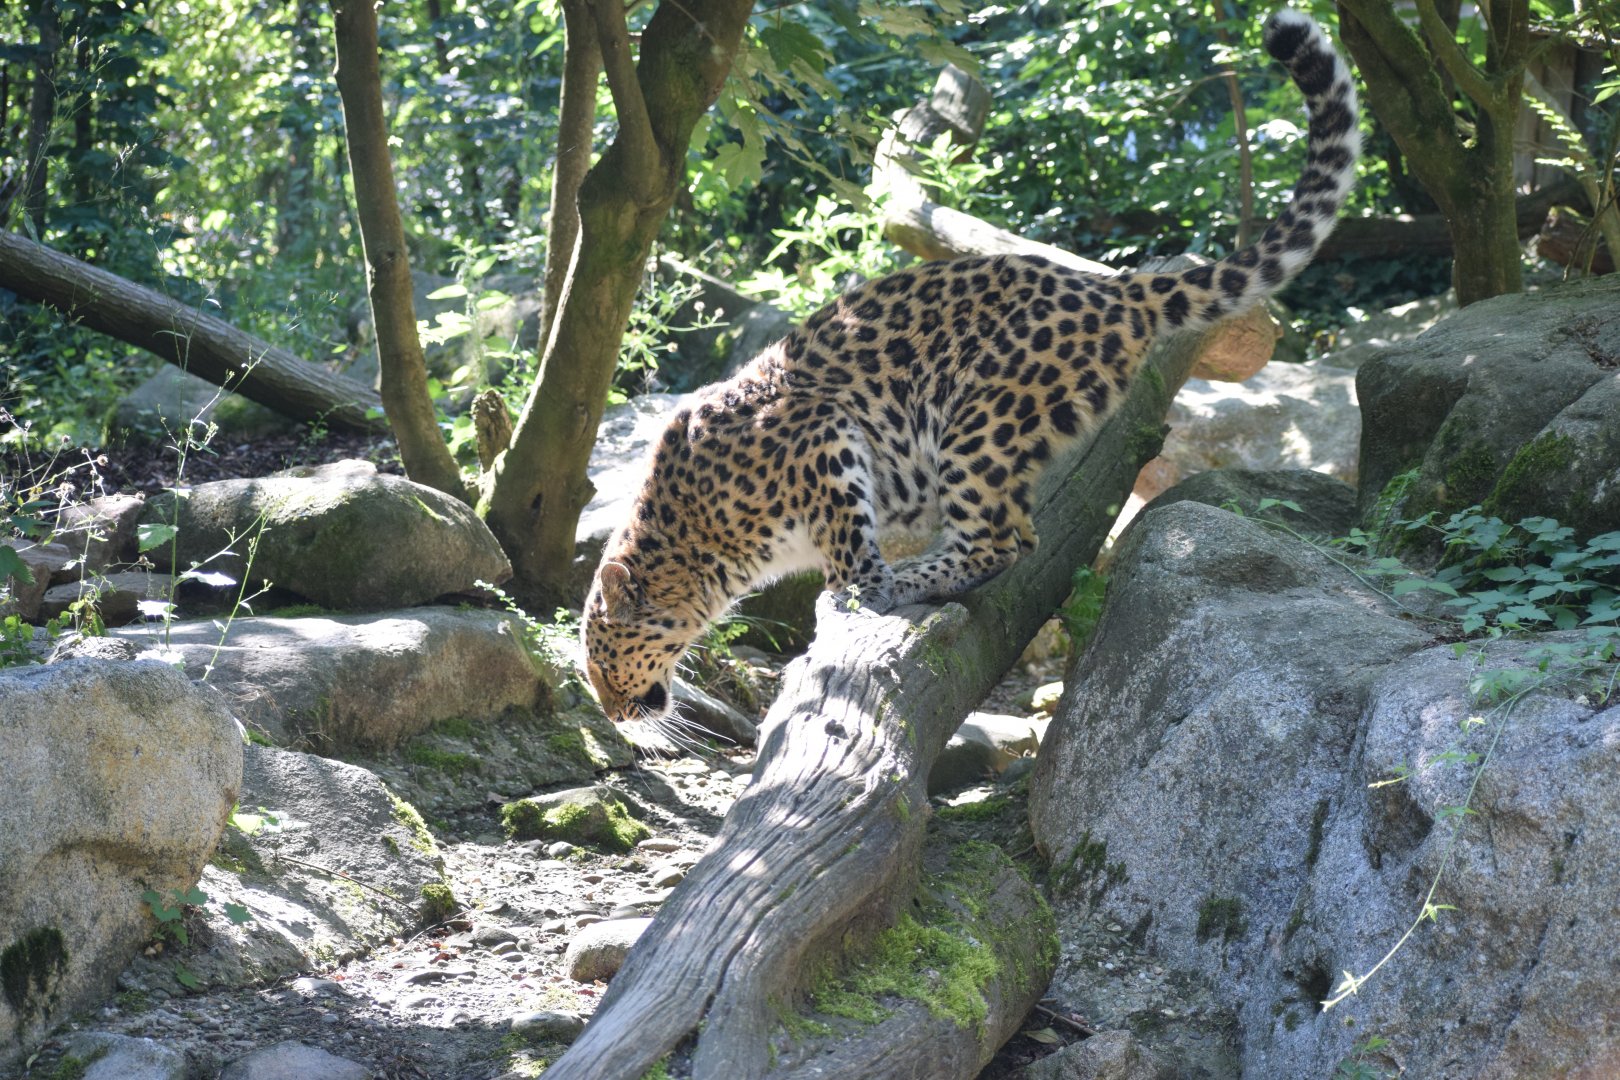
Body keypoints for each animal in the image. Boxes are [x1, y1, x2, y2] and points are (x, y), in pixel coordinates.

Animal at [583, 9, 1359, 725]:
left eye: (600, 655)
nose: (614, 714)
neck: (698, 542)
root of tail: (1106, 289)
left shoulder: (825, 435)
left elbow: (849, 541)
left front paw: (856, 589)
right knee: (1016, 535)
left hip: (977, 418)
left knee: (1000, 541)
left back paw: (908, 576)